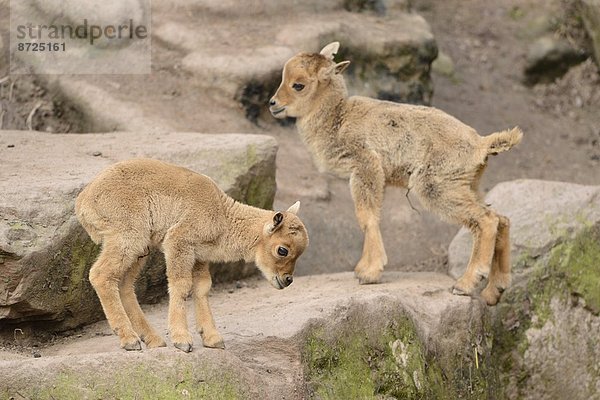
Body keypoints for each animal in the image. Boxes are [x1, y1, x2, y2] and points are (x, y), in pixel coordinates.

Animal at [76, 158, 310, 352]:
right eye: (282, 250)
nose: (287, 280)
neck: (222, 214)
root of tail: (83, 202)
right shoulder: (178, 243)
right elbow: (181, 285)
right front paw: (182, 341)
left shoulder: (199, 256)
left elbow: (202, 288)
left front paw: (213, 339)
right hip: (128, 239)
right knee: (101, 275)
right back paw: (130, 340)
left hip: (140, 250)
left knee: (124, 284)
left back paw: (153, 340)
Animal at [270, 41, 524, 304]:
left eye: (298, 85)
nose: (273, 103)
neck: (338, 118)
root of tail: (481, 144)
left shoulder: (366, 165)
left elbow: (366, 217)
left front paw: (368, 273)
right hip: (467, 186)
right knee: (501, 219)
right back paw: (494, 291)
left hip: (436, 187)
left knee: (486, 220)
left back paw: (465, 284)